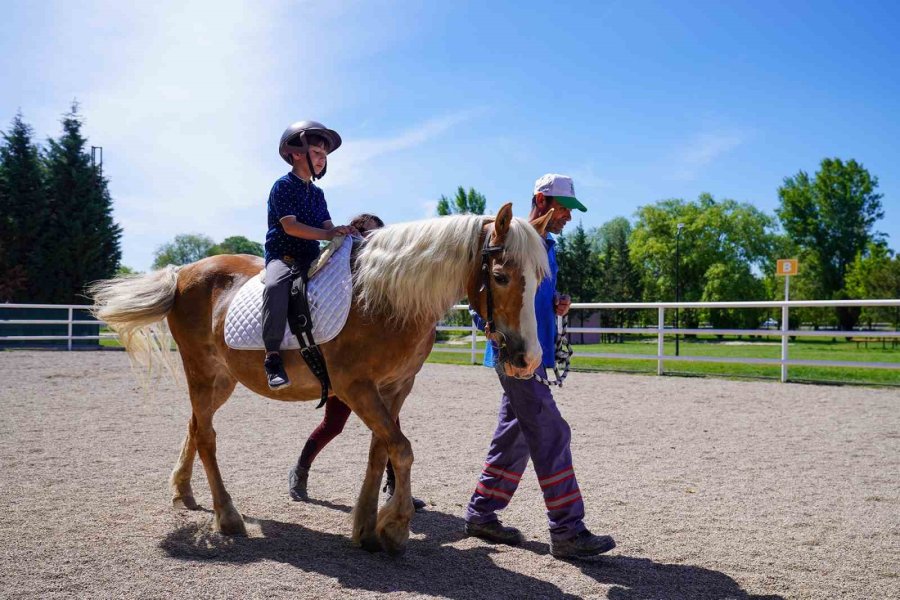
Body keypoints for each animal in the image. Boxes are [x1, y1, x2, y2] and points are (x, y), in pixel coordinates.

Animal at [93, 204, 556, 556]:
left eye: (540, 278)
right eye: (500, 276)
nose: (528, 359)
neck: (383, 298)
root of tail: (184, 272)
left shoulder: (395, 388)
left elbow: (381, 451)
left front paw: (367, 529)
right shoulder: (356, 388)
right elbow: (402, 449)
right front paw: (394, 527)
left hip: (222, 379)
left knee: (194, 426)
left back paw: (184, 492)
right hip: (201, 371)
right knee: (206, 437)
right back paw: (228, 516)